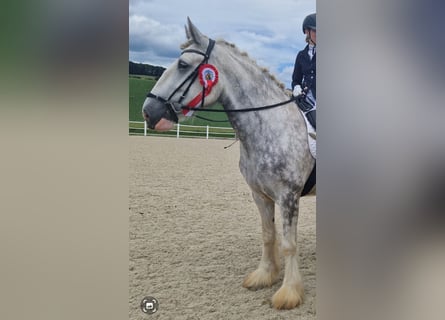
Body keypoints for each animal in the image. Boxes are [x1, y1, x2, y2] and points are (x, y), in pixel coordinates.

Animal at [140, 18, 314, 310]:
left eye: (183, 65)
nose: (148, 112)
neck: (271, 125)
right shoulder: (260, 195)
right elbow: (268, 235)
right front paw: (264, 276)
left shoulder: (288, 195)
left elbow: (289, 243)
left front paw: (289, 292)